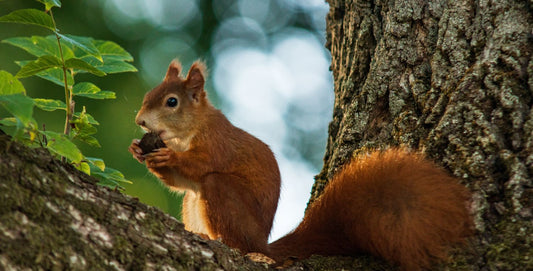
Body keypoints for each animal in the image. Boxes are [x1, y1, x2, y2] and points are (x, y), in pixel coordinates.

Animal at [131, 60, 472, 270]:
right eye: (147, 95)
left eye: (172, 102)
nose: (140, 121)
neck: (187, 132)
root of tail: (263, 242)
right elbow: (179, 183)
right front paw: (138, 150)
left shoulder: (216, 143)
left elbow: (200, 165)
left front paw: (167, 157)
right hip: (194, 204)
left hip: (224, 197)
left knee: (223, 207)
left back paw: (236, 247)